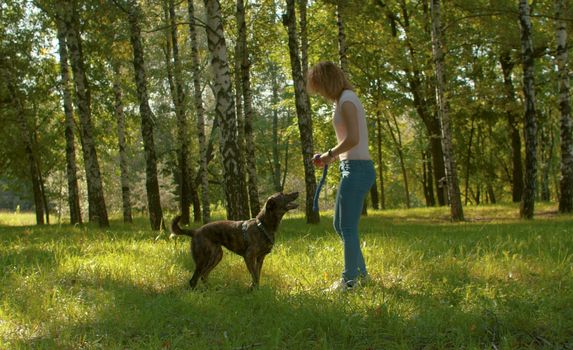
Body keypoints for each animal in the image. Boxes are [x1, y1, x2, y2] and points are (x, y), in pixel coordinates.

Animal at [170, 191, 298, 288]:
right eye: (283, 194)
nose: (297, 192)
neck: (263, 225)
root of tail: (195, 231)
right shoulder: (249, 256)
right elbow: (254, 275)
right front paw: (252, 290)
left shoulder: (260, 258)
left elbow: (257, 276)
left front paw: (256, 290)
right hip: (202, 258)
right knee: (194, 279)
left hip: (216, 256)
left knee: (204, 275)